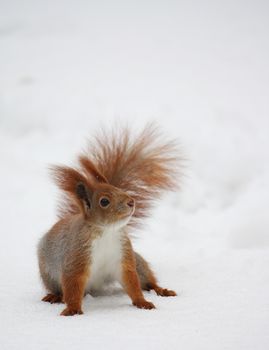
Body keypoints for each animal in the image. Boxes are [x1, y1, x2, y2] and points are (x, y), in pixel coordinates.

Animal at [37, 124, 180, 316]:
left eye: (118, 188)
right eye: (104, 201)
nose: (131, 202)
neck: (106, 231)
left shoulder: (123, 256)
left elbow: (132, 282)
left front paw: (142, 302)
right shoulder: (76, 257)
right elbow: (73, 284)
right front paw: (72, 310)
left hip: (138, 262)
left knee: (146, 280)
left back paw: (161, 290)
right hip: (48, 273)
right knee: (60, 289)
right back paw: (55, 296)